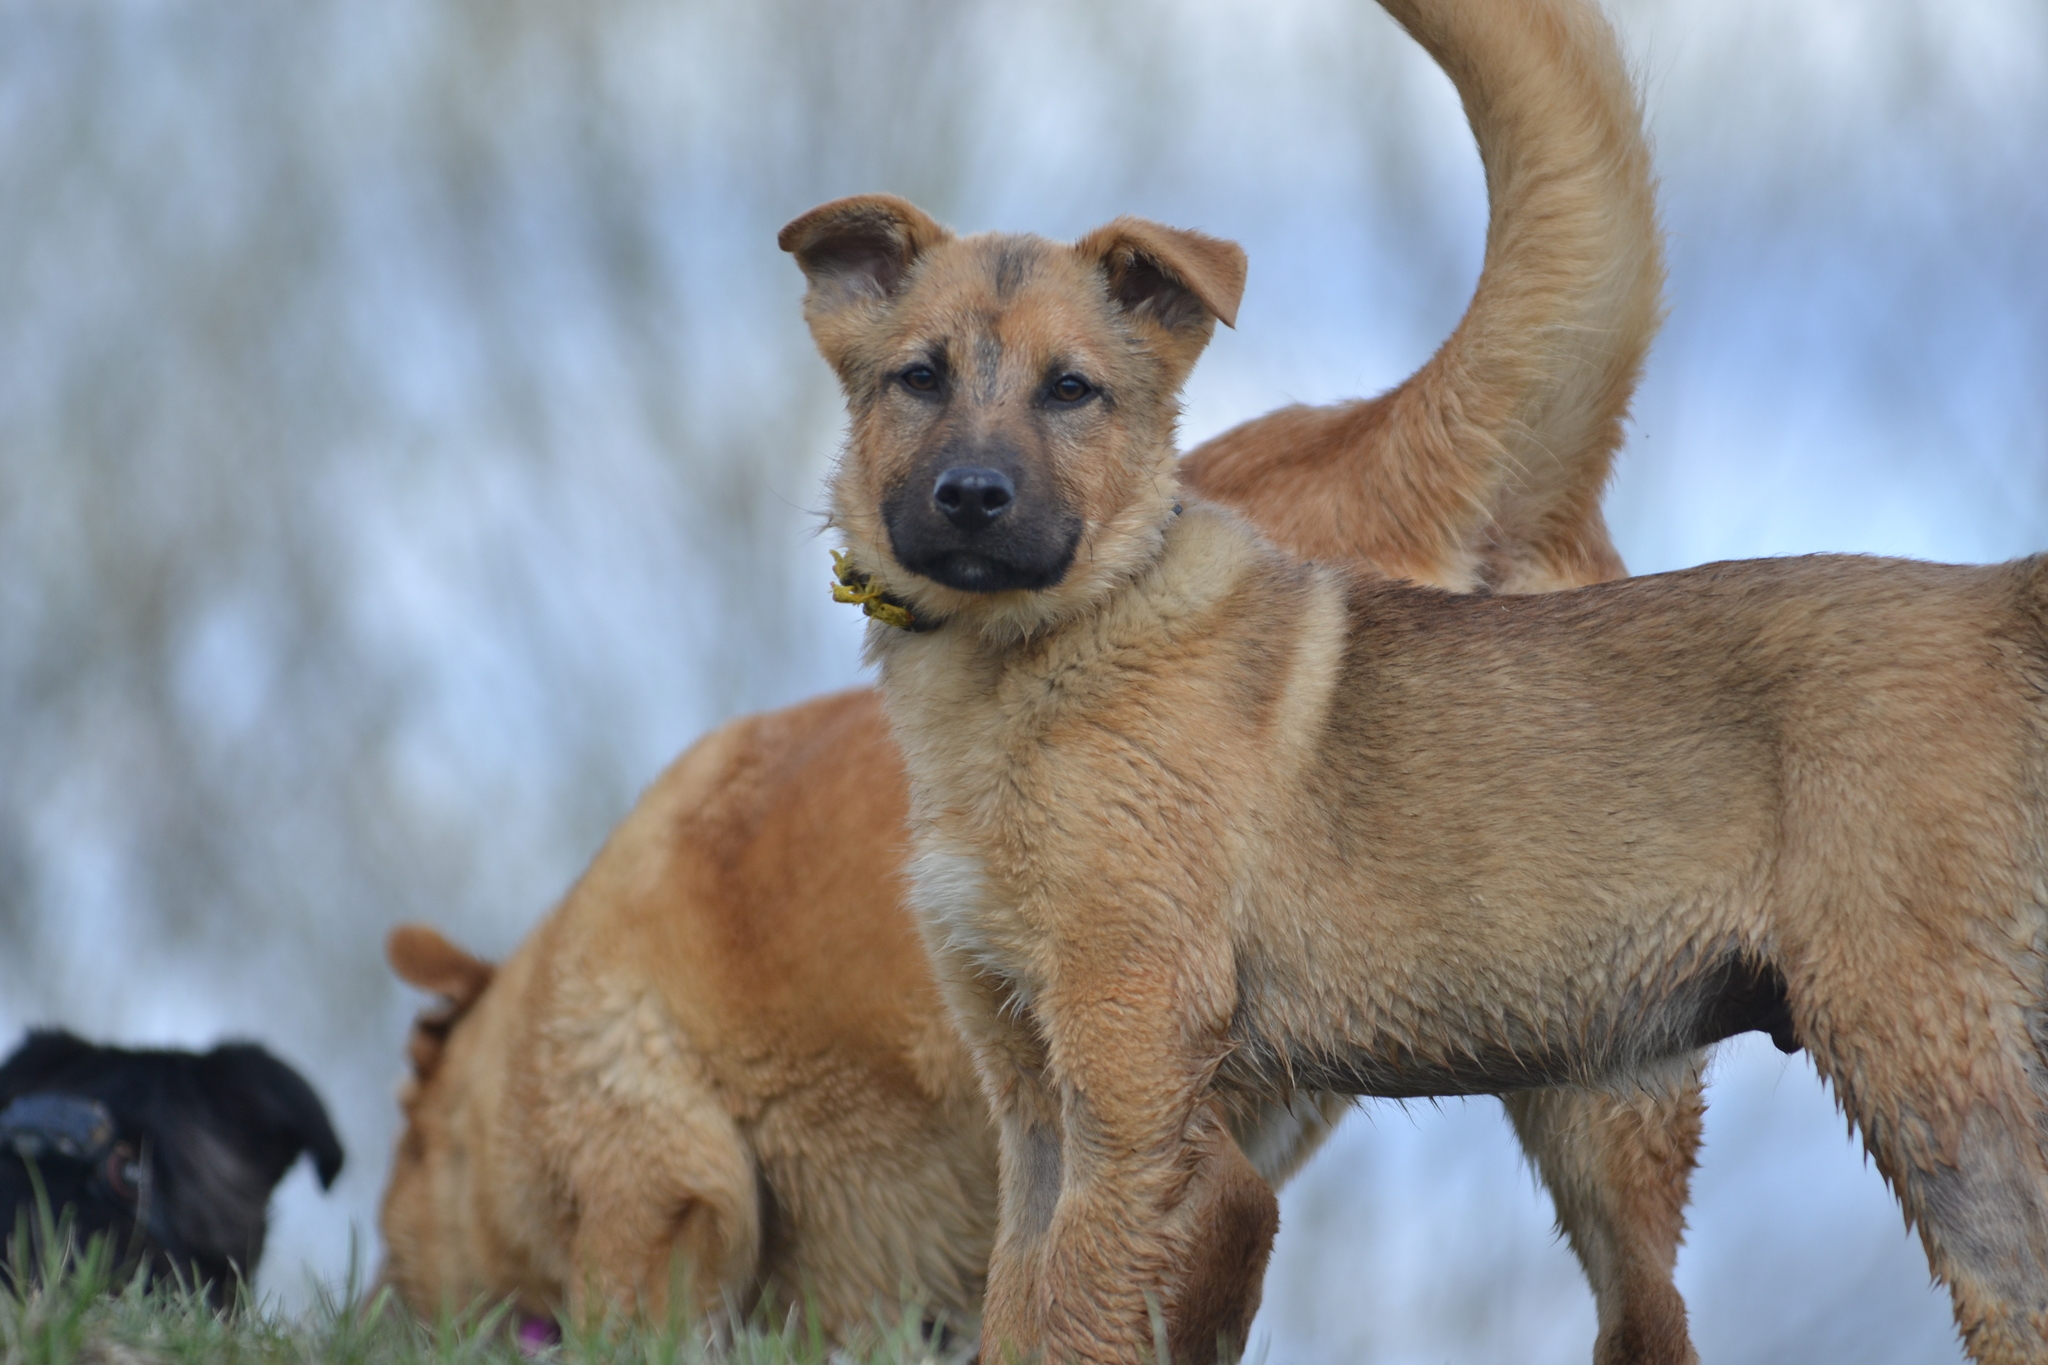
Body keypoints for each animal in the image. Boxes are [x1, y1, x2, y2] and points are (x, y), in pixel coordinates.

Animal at [385, 0, 1695, 1350]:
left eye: (1071, 390)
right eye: (915, 377)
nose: (972, 493)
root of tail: (1402, 437)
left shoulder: (659, 1175)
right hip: (1599, 1090)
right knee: (1643, 1314)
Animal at [794, 37, 2048, 1365]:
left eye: (1071, 391)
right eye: (916, 379)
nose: (973, 498)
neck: (1040, 652)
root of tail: (2005, 601)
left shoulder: (1126, 1064)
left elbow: (1078, 1316)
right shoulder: (1032, 1093)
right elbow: (1019, 1307)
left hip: (1917, 1047)